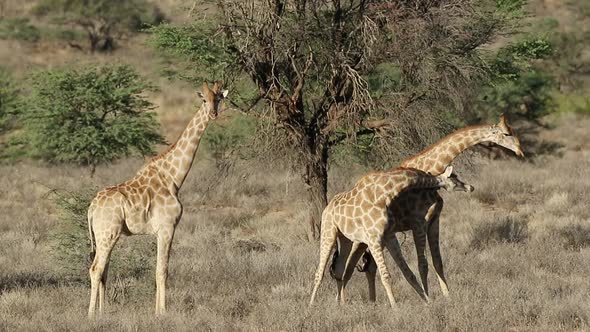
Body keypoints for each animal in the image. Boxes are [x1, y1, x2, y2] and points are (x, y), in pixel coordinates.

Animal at [88, 80, 229, 316]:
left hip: (105, 235)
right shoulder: (167, 227)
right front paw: (162, 312)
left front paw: (157, 310)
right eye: (203, 99)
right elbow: (162, 271)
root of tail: (90, 208)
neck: (173, 177)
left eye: (218, 98)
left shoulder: (160, 231)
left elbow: (158, 270)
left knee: (104, 270)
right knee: (96, 268)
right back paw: (90, 315)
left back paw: (102, 313)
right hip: (108, 233)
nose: (213, 114)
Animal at [308, 165, 470, 308]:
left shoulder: (389, 235)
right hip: (328, 232)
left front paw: (427, 301)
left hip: (346, 238)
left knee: (340, 270)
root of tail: (327, 207)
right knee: (320, 273)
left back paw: (341, 304)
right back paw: (311, 305)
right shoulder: (375, 238)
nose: (470, 187)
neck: (385, 192)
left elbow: (408, 272)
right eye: (454, 177)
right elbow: (386, 275)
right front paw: (396, 308)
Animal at [330, 115, 524, 304]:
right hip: (361, 239)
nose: (520, 152)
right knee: (347, 268)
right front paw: (428, 298)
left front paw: (448, 297)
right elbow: (422, 264)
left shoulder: (434, 221)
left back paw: (370, 303)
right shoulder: (418, 222)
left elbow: (438, 262)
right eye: (506, 134)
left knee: (365, 267)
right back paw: (344, 303)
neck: (428, 168)